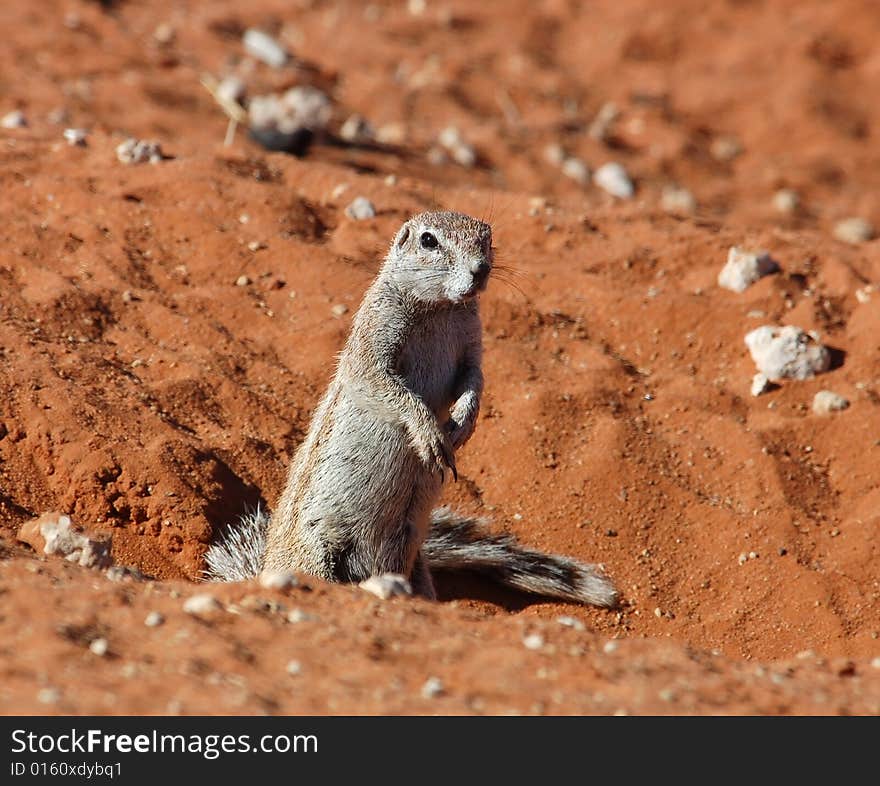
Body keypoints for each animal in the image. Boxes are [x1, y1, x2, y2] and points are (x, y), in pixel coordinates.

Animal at [207, 208, 620, 608]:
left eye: (487, 238)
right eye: (428, 240)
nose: (481, 269)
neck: (440, 308)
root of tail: (266, 568)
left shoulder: (472, 348)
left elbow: (475, 380)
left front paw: (464, 421)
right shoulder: (373, 342)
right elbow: (387, 387)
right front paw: (430, 433)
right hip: (316, 555)